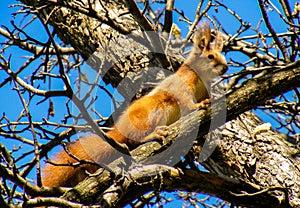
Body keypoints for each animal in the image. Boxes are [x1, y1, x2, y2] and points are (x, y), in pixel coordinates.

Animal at [41, 22, 226, 188]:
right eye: (210, 56)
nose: (225, 67)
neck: (202, 77)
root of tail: (119, 131)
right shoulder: (180, 85)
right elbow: (184, 99)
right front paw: (198, 106)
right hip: (152, 113)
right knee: (135, 140)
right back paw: (154, 135)